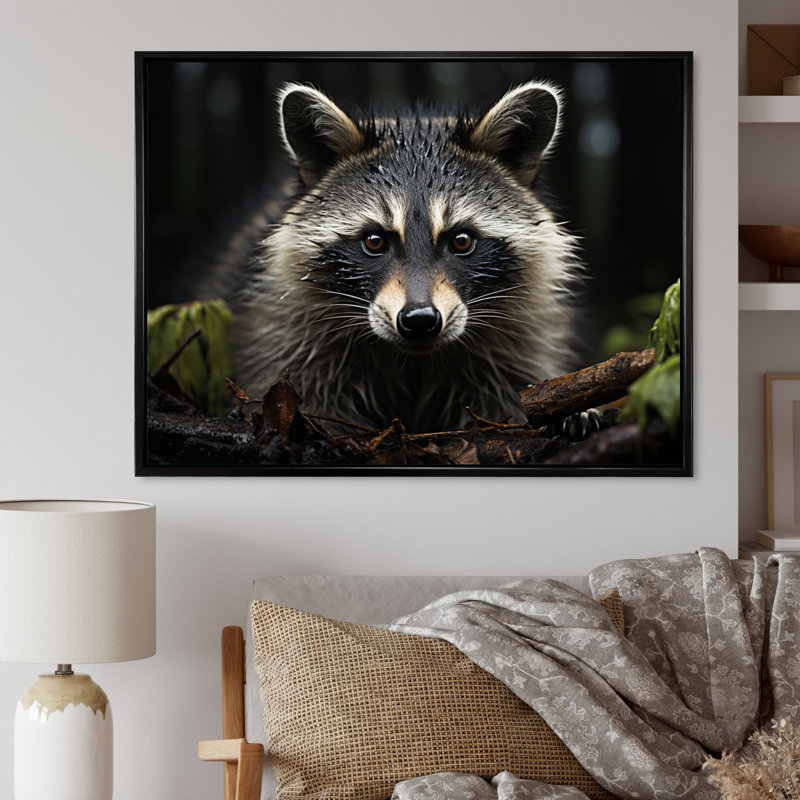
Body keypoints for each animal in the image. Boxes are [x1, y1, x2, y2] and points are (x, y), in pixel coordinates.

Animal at [207, 80, 581, 433]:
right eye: (374, 242)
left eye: (461, 241)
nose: (420, 320)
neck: (413, 359)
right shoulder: (284, 331)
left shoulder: (518, 339)